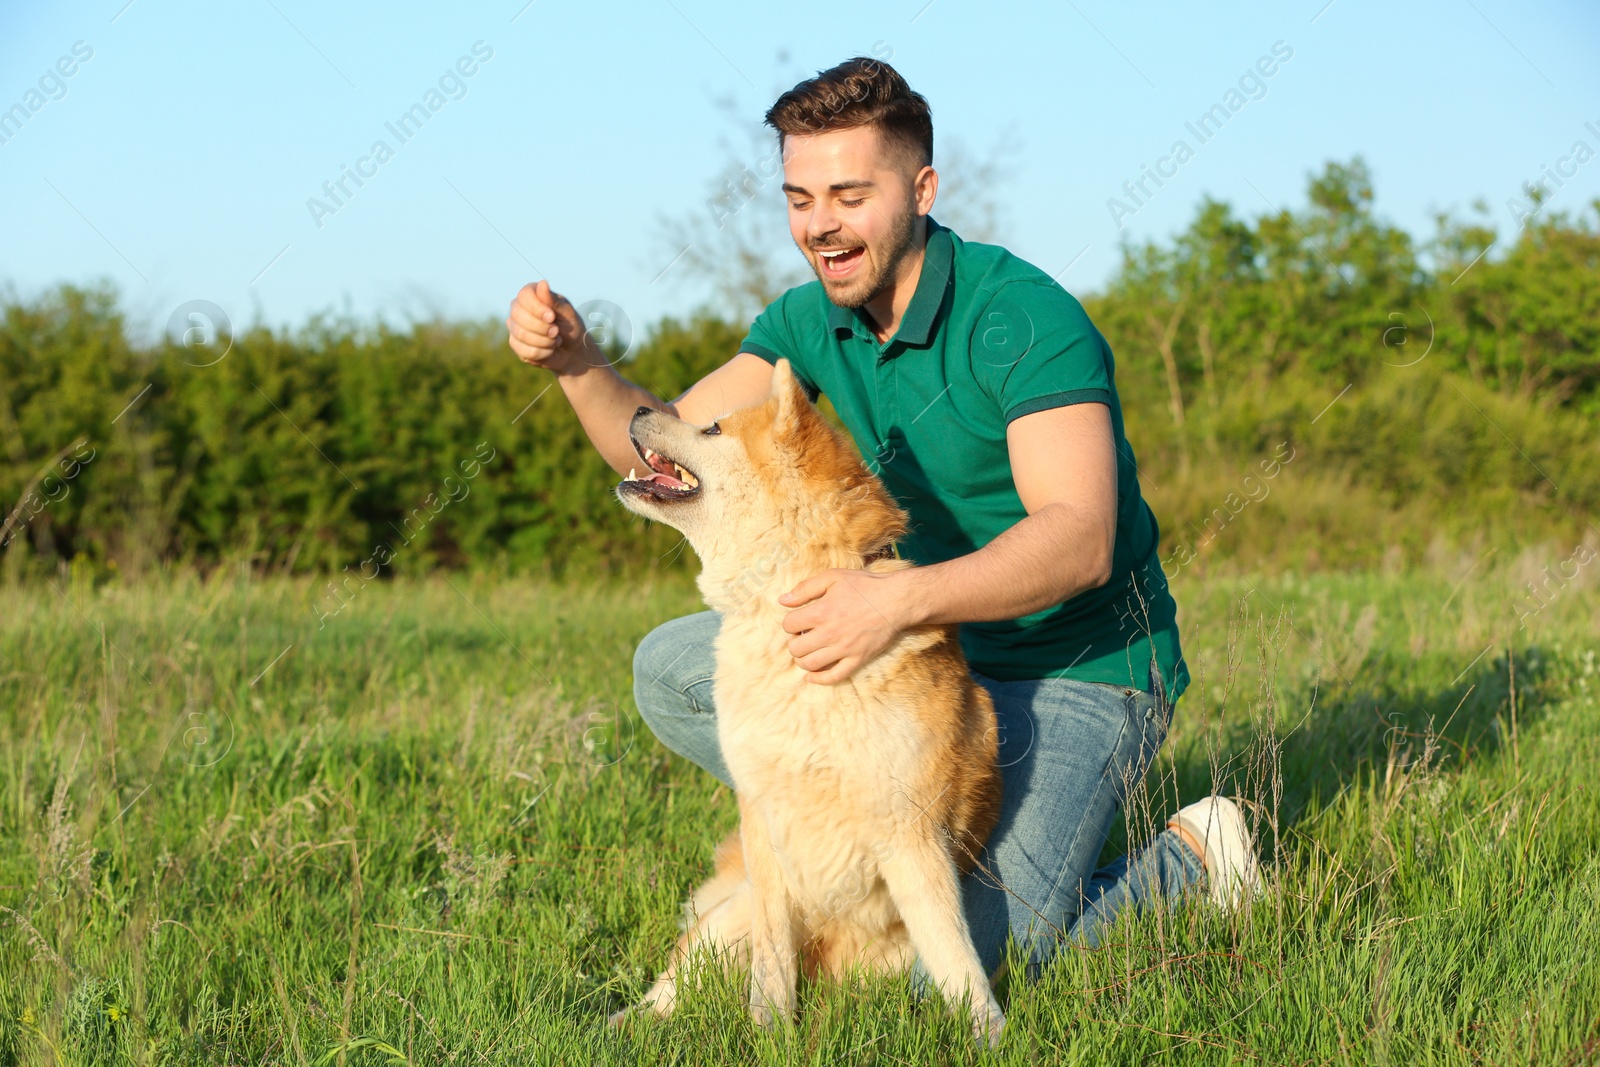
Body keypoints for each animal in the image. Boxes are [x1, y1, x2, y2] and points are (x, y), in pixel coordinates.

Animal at [608, 358, 998, 1043]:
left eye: (712, 427)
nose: (640, 409)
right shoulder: (765, 832)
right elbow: (771, 967)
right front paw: (770, 1032)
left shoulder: (912, 837)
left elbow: (956, 957)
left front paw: (991, 1036)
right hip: (727, 922)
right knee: (673, 985)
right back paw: (617, 1025)